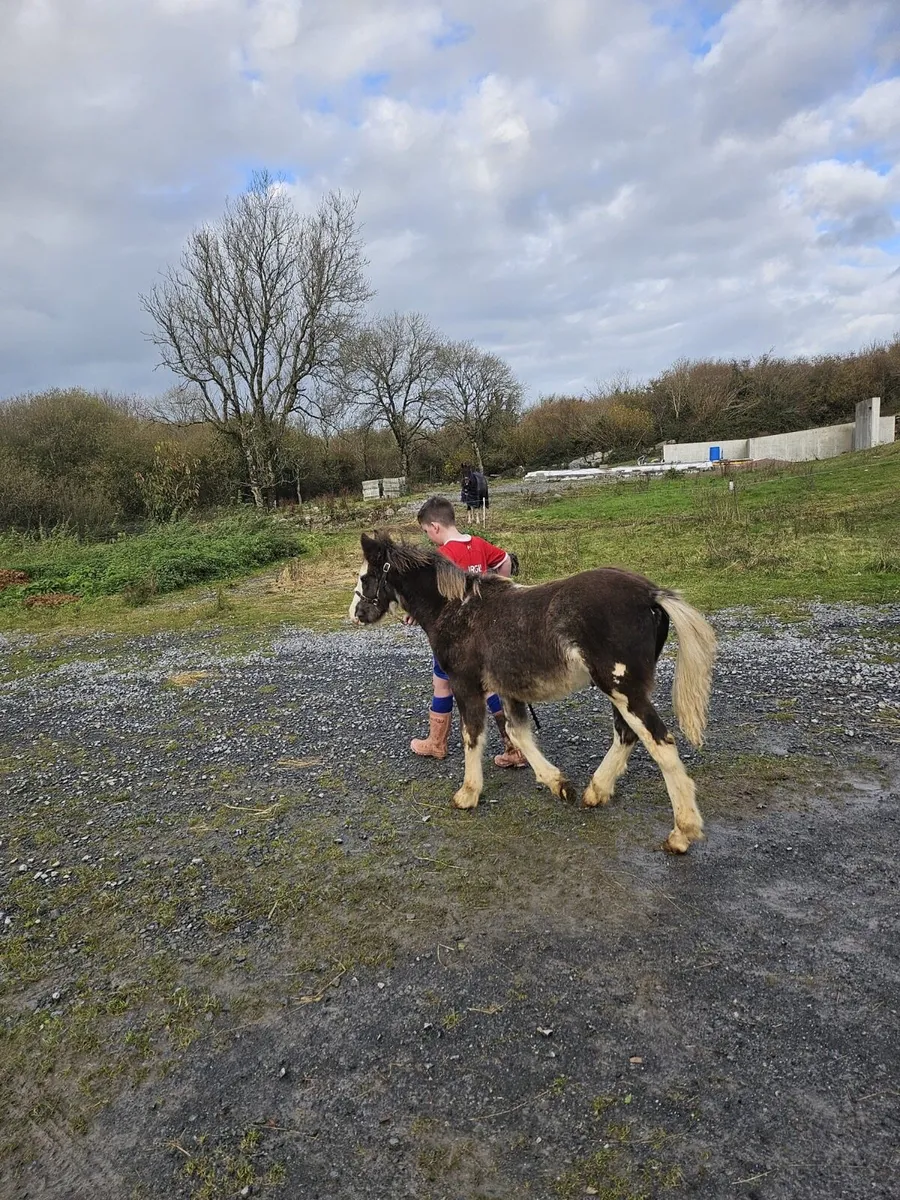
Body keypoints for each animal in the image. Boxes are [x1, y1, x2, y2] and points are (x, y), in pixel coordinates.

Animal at [350, 533, 717, 853]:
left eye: (366, 576)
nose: (355, 614)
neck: (457, 609)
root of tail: (650, 594)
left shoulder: (465, 685)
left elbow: (473, 735)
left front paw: (467, 794)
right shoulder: (508, 689)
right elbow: (518, 733)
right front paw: (558, 784)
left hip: (622, 687)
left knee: (659, 741)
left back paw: (681, 833)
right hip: (620, 691)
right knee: (626, 734)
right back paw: (595, 792)